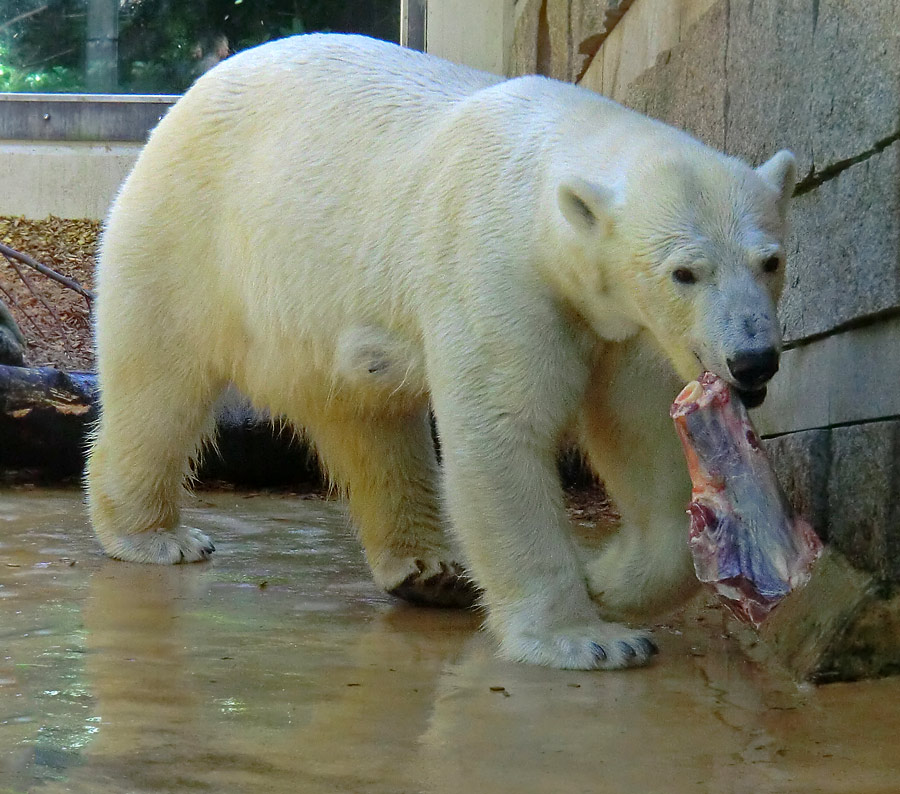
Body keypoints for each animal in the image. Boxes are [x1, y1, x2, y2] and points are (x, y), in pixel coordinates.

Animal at [86, 35, 796, 668]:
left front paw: (608, 582)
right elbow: (502, 430)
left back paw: (429, 569)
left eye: (771, 261)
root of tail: (185, 100)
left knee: (371, 420)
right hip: (190, 235)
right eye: (685, 273)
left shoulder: (627, 327)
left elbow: (640, 436)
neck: (542, 174)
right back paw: (155, 536)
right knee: (159, 383)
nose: (753, 360)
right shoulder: (497, 268)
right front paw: (587, 639)